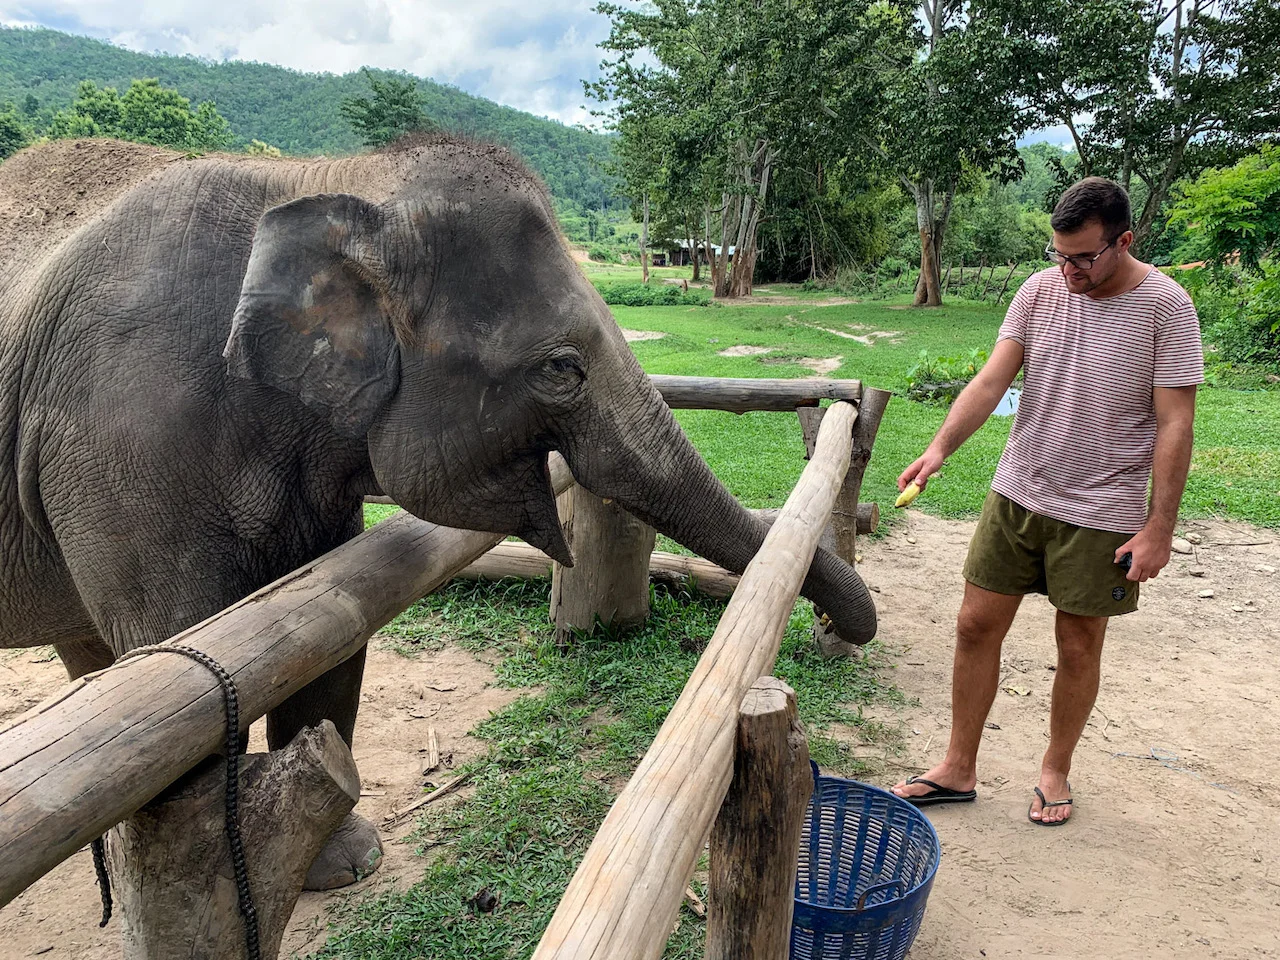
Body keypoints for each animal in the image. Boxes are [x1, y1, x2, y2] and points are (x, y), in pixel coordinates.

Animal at [0, 134, 876, 891]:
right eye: (562, 369)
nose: (837, 632)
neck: (333, 180)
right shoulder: (122, 447)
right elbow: (182, 670)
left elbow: (326, 640)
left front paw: (344, 866)